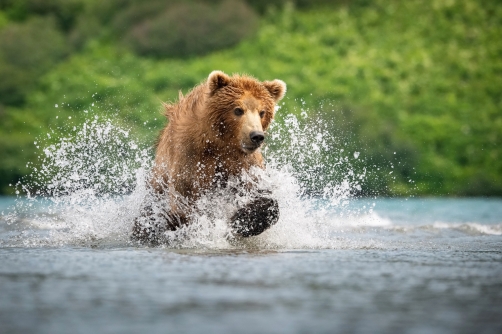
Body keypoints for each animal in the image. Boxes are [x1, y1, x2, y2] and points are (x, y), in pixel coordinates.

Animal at [131, 70, 286, 243]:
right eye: (238, 110)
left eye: (262, 112)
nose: (256, 136)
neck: (219, 142)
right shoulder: (190, 156)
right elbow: (185, 202)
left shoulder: (243, 162)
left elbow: (262, 194)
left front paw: (241, 220)